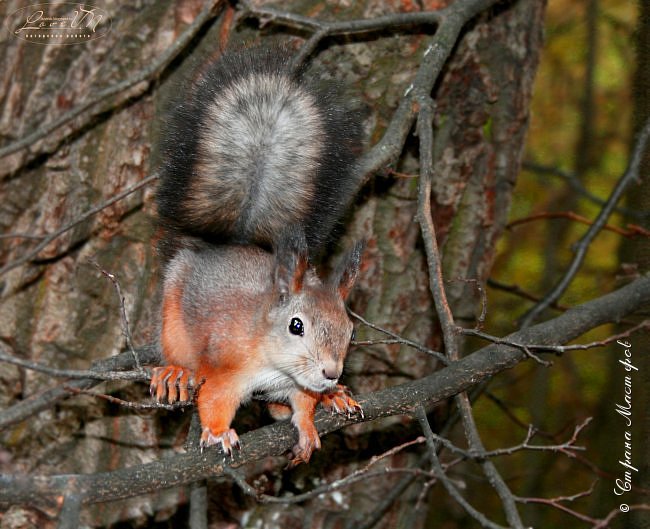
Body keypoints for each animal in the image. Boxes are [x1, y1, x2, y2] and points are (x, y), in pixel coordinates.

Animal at [151, 46, 364, 466]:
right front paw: (219, 433)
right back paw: (174, 373)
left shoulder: (300, 386)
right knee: (178, 352)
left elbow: (302, 406)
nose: (331, 372)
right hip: (173, 318)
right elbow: (214, 400)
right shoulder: (228, 367)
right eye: (296, 326)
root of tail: (232, 245)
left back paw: (336, 397)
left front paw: (309, 425)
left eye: (350, 331)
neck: (276, 364)